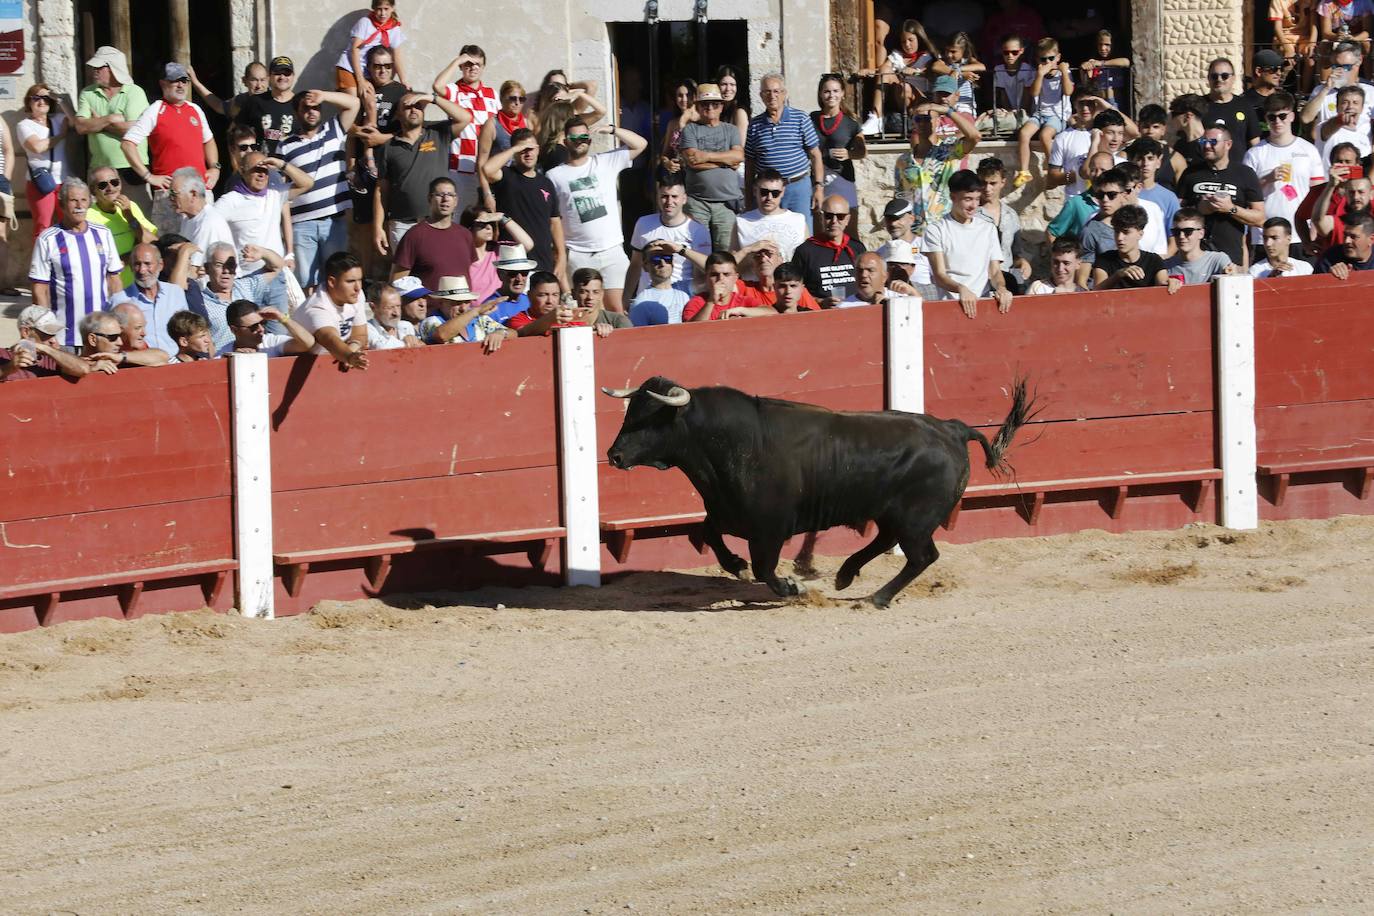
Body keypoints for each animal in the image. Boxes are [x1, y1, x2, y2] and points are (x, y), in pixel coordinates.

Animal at [607, 376, 1033, 604]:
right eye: (629, 414)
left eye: (650, 419)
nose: (613, 454)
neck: (726, 445)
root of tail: (951, 429)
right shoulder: (724, 514)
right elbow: (708, 533)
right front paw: (736, 566)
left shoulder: (771, 529)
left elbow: (764, 567)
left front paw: (790, 587)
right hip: (891, 513)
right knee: (886, 542)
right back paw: (846, 576)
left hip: (916, 518)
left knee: (921, 556)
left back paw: (877, 597)